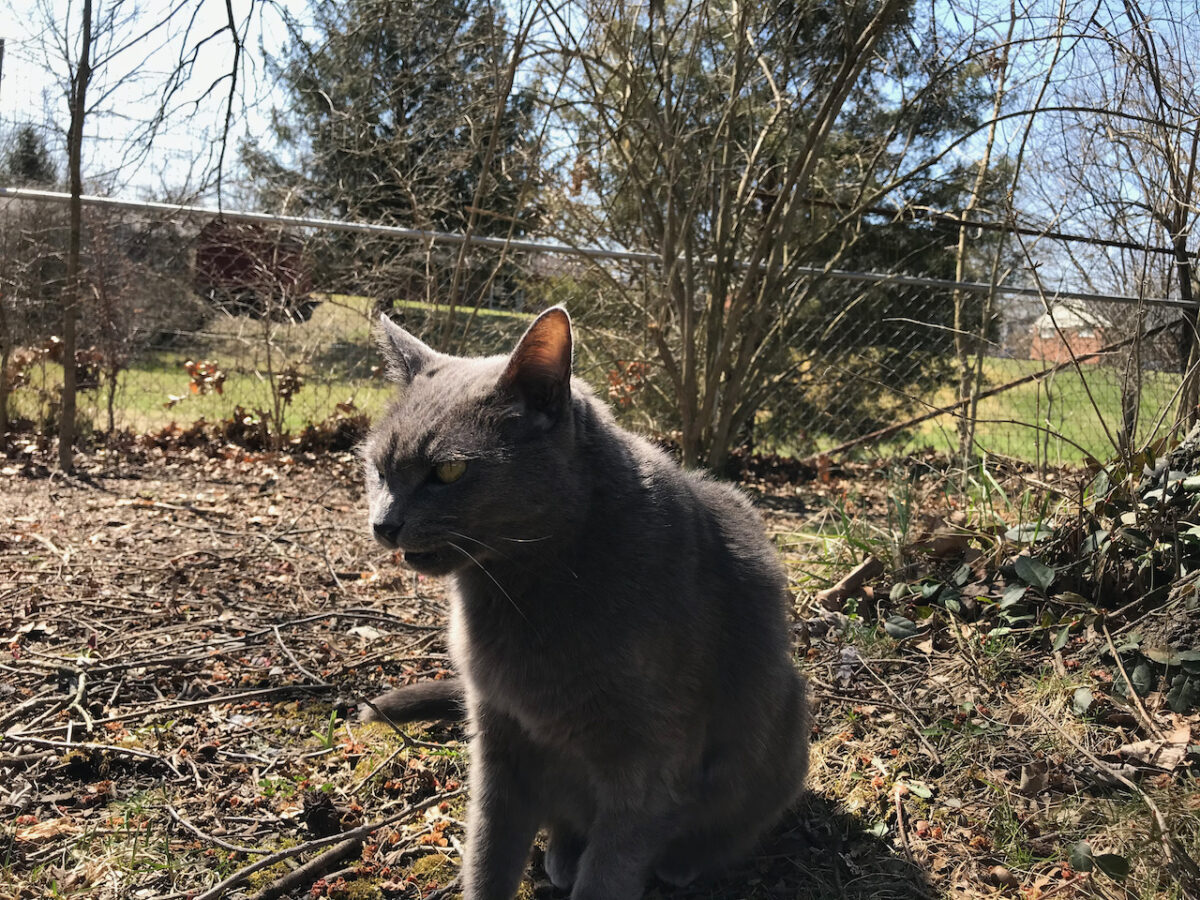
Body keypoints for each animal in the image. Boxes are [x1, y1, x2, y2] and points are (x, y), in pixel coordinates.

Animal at [357, 309, 806, 900]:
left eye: (449, 471)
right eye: (379, 469)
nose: (383, 523)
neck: (521, 590)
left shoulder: (651, 755)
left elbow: (612, 866)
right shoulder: (497, 733)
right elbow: (489, 848)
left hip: (780, 728)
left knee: (730, 827)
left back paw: (681, 862)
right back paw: (564, 856)